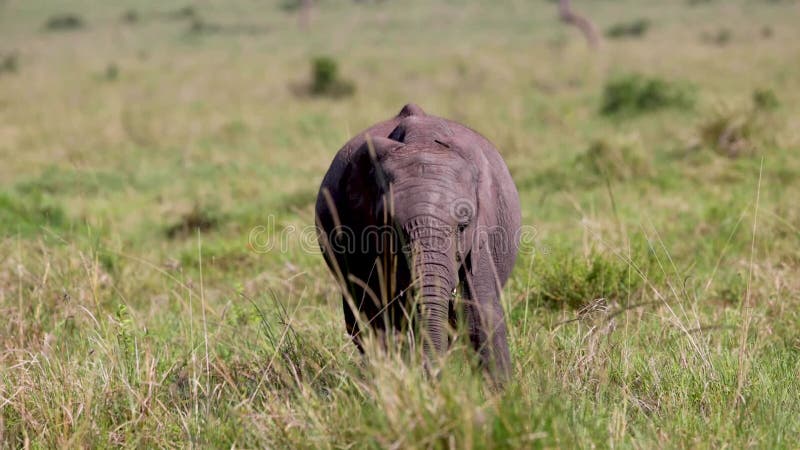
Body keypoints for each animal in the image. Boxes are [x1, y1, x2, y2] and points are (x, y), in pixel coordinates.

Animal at [316, 103, 520, 384]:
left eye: (463, 226)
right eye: (392, 229)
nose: (435, 379)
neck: (421, 140)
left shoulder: (483, 234)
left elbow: (481, 314)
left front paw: (502, 394)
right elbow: (381, 318)